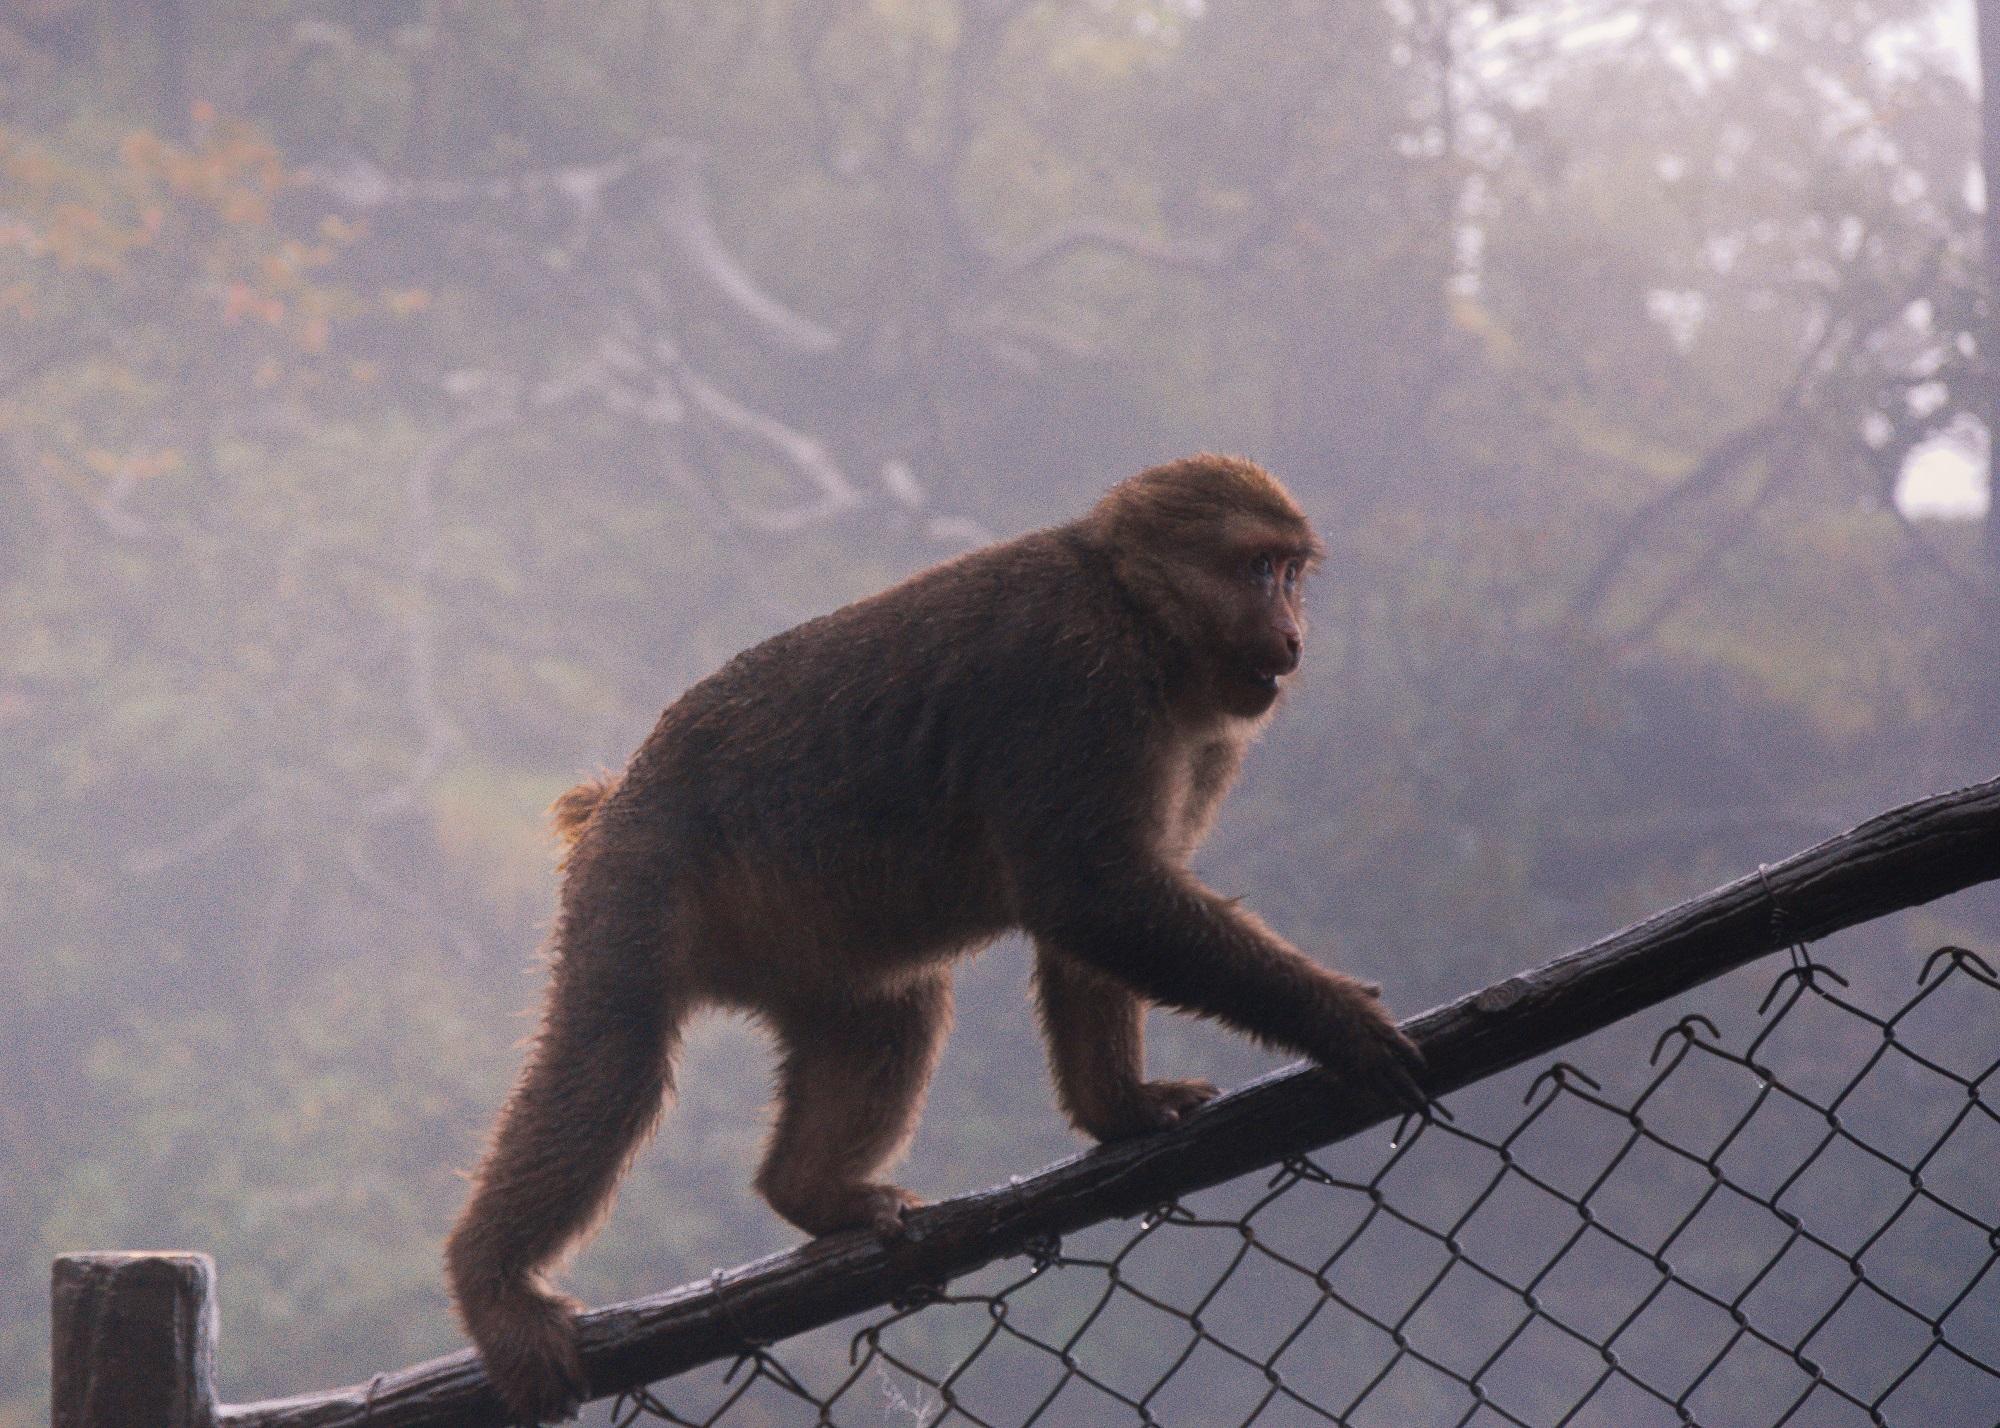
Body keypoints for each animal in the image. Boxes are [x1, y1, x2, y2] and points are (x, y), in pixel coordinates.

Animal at [448, 454, 1432, 1416]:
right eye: (1259, 568)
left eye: (1292, 574)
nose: (1293, 632)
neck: (1134, 615)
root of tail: (616, 795)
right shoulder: (1076, 673)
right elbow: (1091, 893)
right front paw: (1335, 1021)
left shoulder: (1207, 735)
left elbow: (1097, 915)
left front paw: (1117, 1108)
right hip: (637, 876)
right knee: (611, 1066)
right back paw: (491, 1286)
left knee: (890, 1008)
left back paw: (811, 1192)